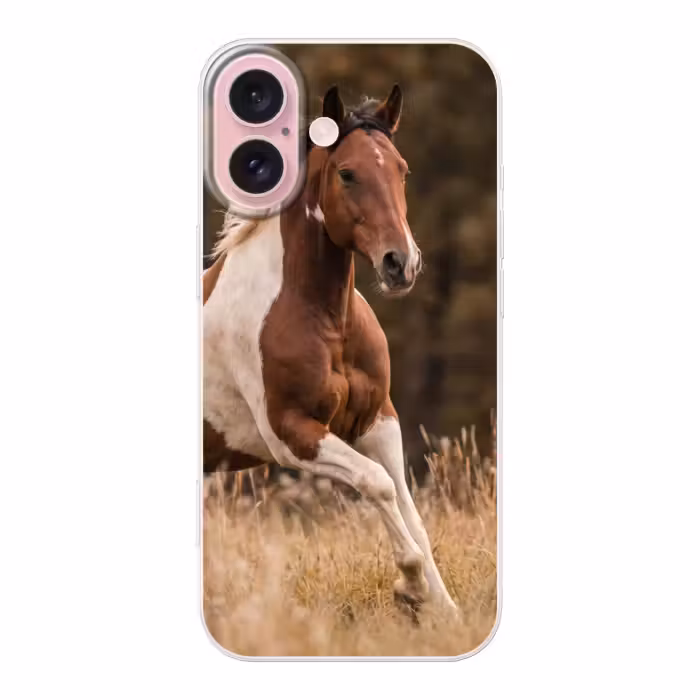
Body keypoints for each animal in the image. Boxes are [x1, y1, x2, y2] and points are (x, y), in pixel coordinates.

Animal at [202, 84, 457, 612]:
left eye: (401, 169)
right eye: (347, 173)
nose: (401, 263)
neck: (326, 322)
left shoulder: (378, 420)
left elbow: (410, 511)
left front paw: (446, 609)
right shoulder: (293, 434)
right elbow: (377, 484)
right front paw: (410, 586)